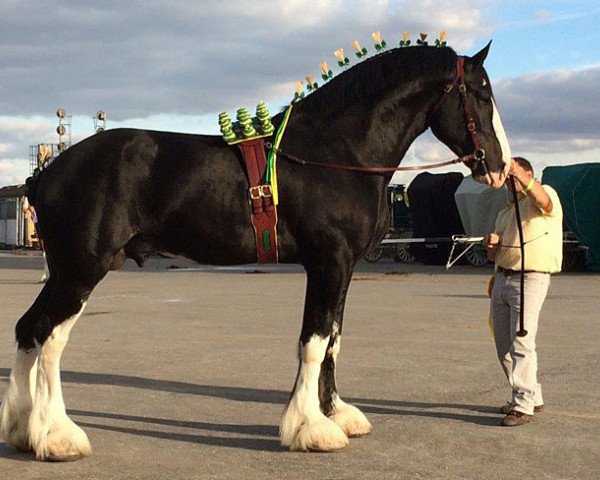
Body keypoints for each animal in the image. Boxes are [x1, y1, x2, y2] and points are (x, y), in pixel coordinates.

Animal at [1, 43, 510, 460]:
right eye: (481, 94)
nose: (501, 167)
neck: (339, 151)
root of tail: (48, 171)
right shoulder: (327, 263)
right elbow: (314, 341)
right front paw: (310, 428)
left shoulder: (344, 268)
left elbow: (334, 339)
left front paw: (336, 412)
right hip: (80, 271)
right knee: (49, 338)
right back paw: (58, 437)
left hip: (65, 272)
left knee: (28, 330)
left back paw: (23, 430)